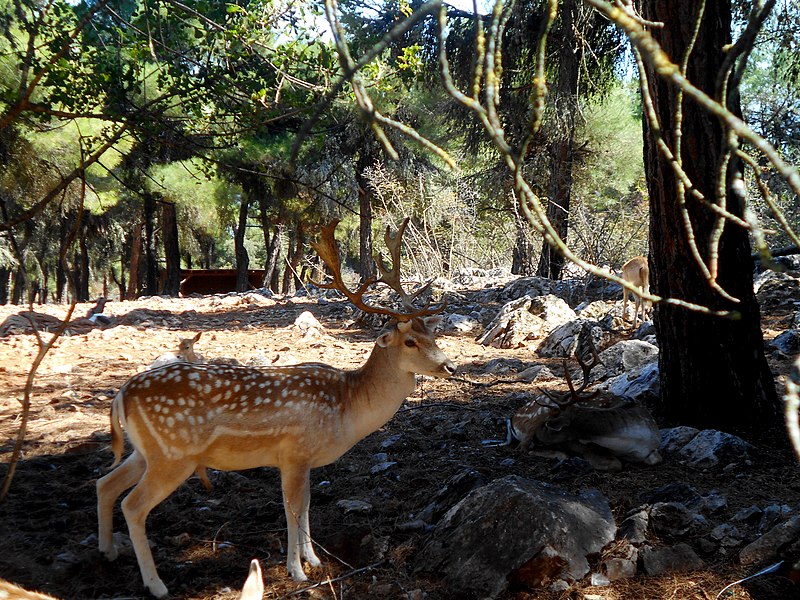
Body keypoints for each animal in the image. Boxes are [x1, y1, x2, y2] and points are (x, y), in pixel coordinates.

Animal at [96, 220, 454, 600]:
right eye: (410, 341)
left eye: (432, 335)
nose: (449, 366)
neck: (346, 406)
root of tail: (121, 395)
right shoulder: (295, 452)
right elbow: (293, 508)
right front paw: (297, 572)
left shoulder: (299, 459)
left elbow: (306, 504)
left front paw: (313, 559)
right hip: (173, 456)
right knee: (133, 505)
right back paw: (156, 584)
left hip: (147, 452)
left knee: (105, 483)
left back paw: (107, 552)